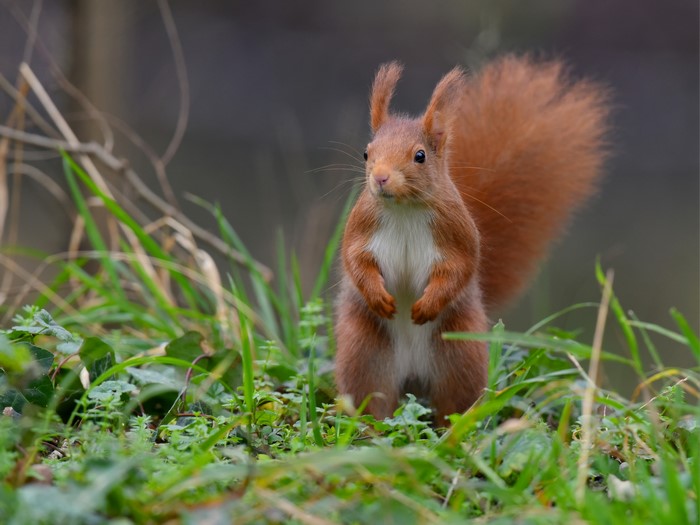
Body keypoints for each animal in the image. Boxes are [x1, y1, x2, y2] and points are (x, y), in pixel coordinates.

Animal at [334, 55, 610, 423]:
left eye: (419, 155)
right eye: (367, 153)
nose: (379, 178)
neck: (404, 209)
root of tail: (412, 377)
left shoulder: (456, 234)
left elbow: (460, 268)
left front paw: (426, 305)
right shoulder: (361, 227)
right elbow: (355, 260)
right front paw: (378, 297)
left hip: (459, 355)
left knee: (454, 404)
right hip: (365, 355)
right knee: (371, 400)